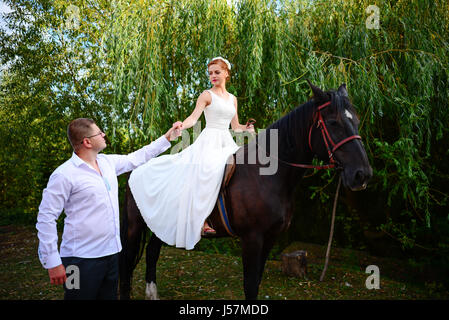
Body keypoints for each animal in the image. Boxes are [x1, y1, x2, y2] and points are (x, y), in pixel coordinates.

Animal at [118, 80, 372, 300]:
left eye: (357, 120)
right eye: (333, 123)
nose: (363, 174)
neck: (267, 176)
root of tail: (135, 169)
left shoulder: (270, 237)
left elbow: (256, 280)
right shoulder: (252, 238)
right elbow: (250, 284)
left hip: (163, 224)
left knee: (152, 251)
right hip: (135, 226)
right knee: (127, 261)